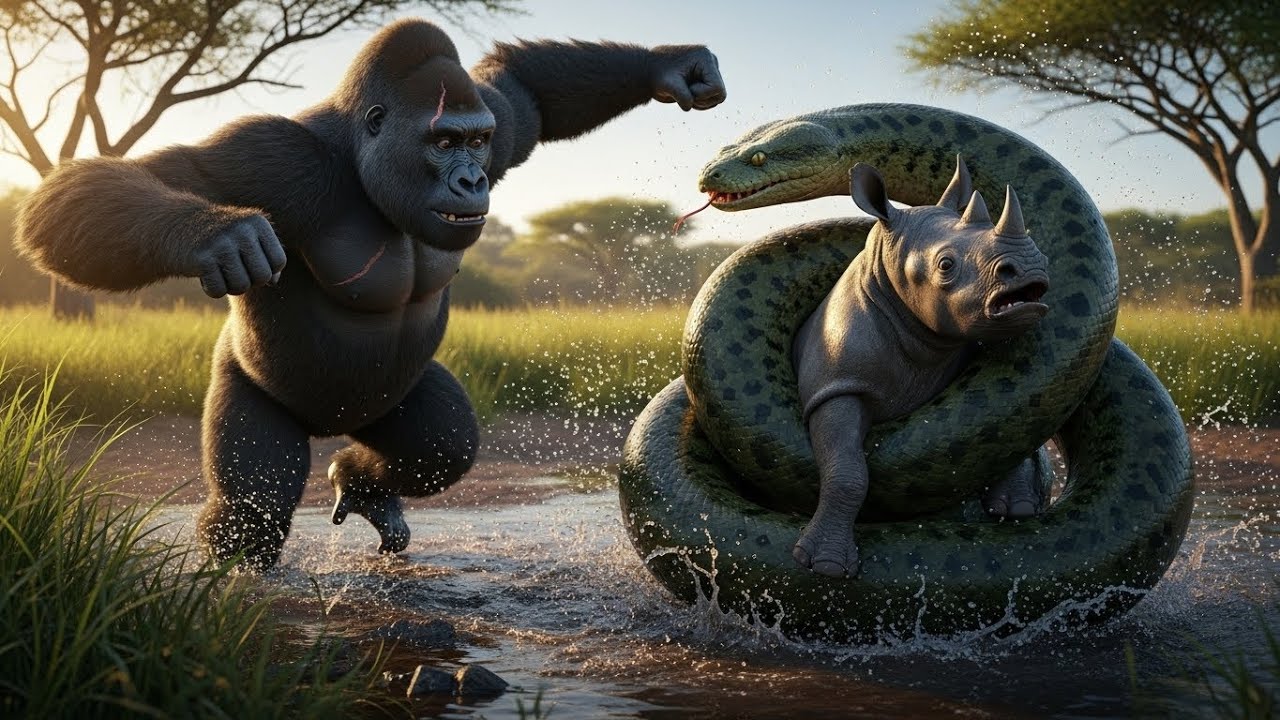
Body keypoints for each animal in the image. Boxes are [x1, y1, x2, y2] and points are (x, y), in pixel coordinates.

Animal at [15, 18, 726, 570]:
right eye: (443, 141)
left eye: (474, 142)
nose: (472, 180)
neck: (363, 163)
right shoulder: (274, 159)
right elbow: (157, 176)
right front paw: (216, 236)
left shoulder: (501, 120)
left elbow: (525, 95)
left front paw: (671, 66)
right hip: (244, 384)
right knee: (251, 509)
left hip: (389, 406)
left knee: (439, 447)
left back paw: (362, 486)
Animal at [791, 157, 1051, 577]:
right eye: (945, 265)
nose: (1032, 268)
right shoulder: (837, 384)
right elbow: (846, 469)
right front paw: (825, 567)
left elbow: (1013, 434)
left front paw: (1018, 508)